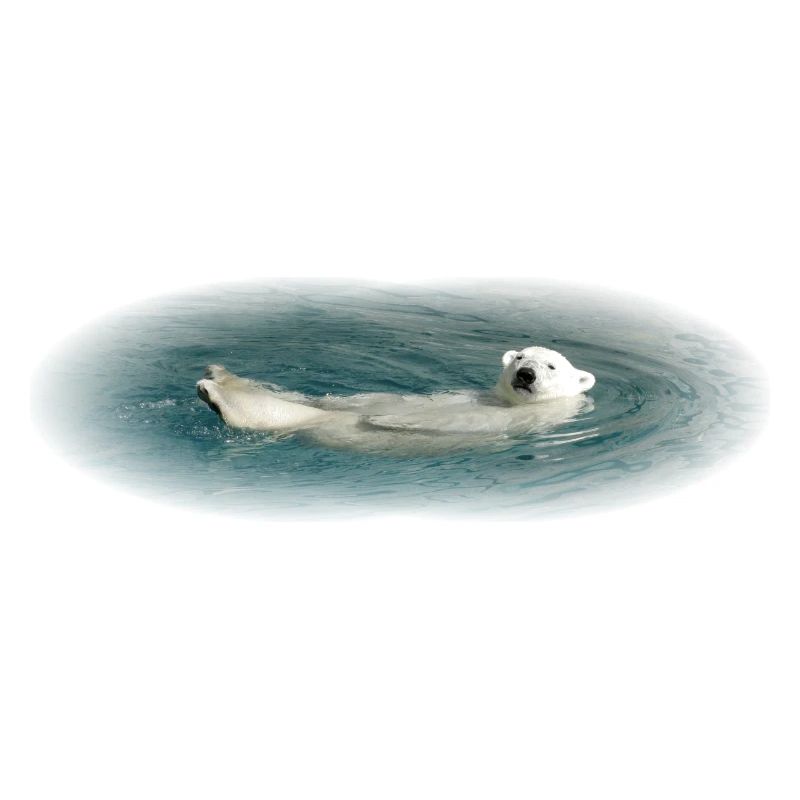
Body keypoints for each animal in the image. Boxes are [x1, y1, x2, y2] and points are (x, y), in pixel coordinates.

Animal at [196, 345, 596, 454]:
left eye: (551, 365)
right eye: (519, 357)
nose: (525, 374)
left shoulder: (526, 419)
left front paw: (389, 420)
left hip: (334, 431)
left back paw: (217, 395)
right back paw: (219, 376)